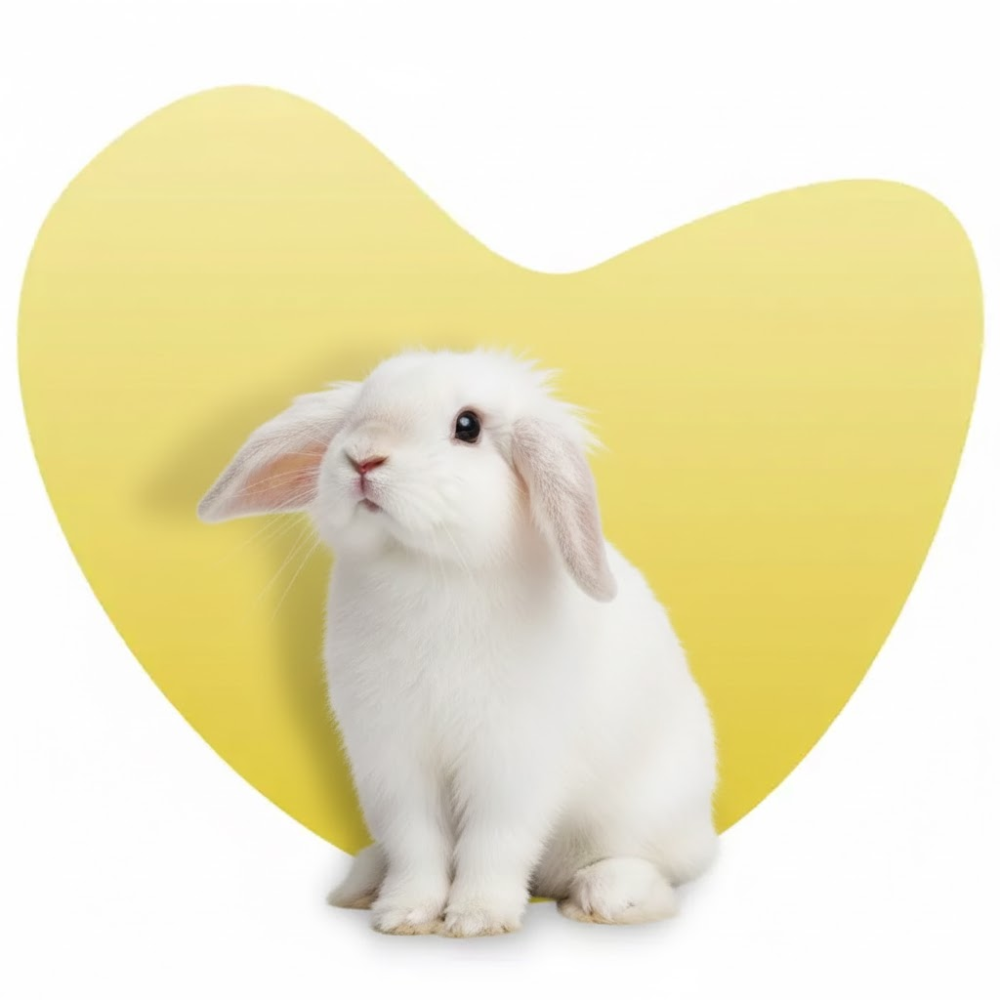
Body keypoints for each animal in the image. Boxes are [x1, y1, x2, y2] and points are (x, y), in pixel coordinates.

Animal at [198, 347, 718, 936]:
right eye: (357, 410)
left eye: (467, 426)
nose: (362, 458)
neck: (427, 567)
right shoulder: (394, 763)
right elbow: (416, 844)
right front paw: (405, 914)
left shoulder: (512, 763)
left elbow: (494, 843)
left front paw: (476, 919)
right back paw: (363, 884)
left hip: (646, 815)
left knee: (654, 866)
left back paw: (606, 897)